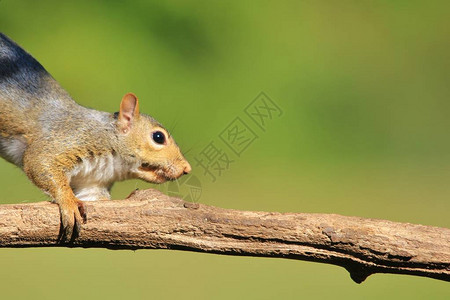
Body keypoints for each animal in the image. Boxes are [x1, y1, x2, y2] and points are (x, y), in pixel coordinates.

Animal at [0, 33, 192, 241]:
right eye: (158, 137)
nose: (186, 168)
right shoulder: (65, 139)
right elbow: (39, 162)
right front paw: (68, 202)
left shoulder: (92, 184)